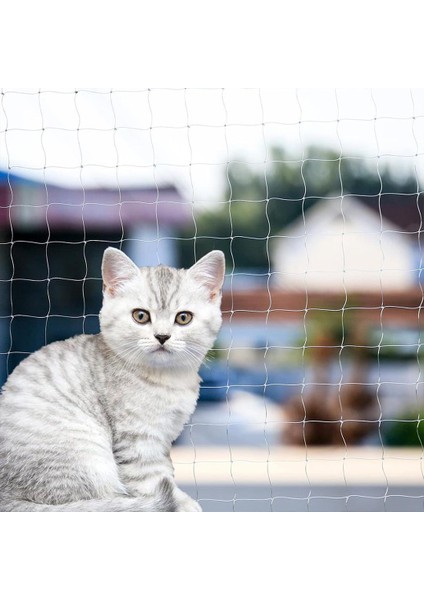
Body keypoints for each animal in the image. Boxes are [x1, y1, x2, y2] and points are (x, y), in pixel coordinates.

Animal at [0, 247, 225, 510]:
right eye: (140, 316)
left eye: (183, 318)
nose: (162, 336)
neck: (167, 378)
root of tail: (8, 497)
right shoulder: (136, 439)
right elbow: (153, 479)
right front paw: (182, 504)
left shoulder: (163, 438)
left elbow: (165, 471)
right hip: (87, 456)